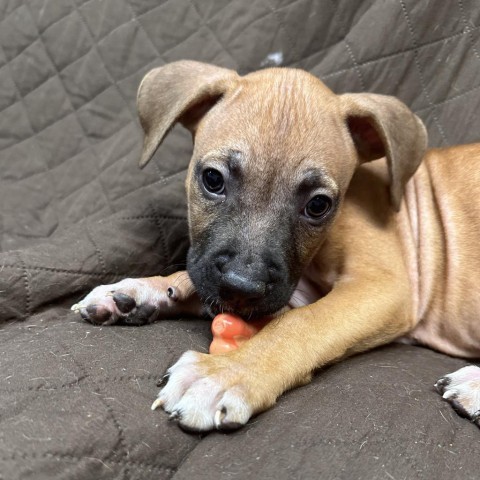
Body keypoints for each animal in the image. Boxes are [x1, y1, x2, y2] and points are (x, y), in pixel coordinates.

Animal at [71, 60, 480, 432]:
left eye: (318, 205)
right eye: (212, 179)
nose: (241, 286)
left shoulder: (383, 286)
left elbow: (299, 325)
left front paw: (224, 374)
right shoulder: (285, 285)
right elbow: (196, 278)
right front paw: (140, 291)